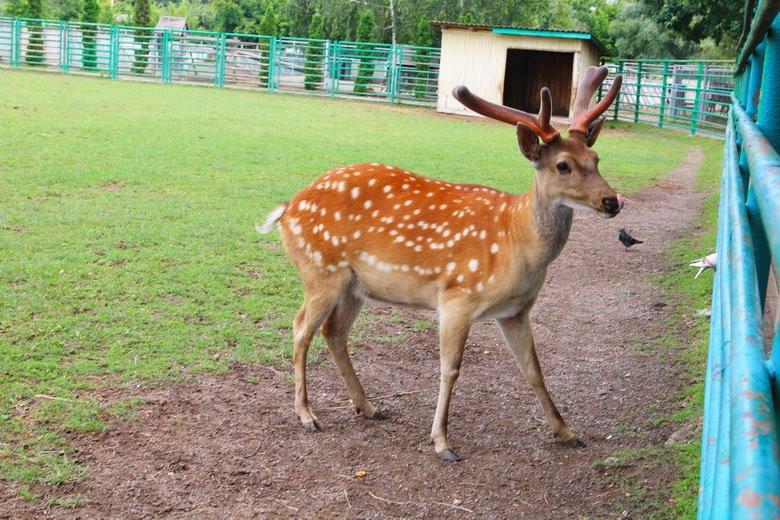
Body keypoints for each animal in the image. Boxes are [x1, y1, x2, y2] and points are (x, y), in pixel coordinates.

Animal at [258, 67, 624, 462]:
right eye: (562, 165)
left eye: (597, 157)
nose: (612, 201)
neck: (516, 240)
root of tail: (288, 209)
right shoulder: (457, 296)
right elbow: (450, 369)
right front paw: (442, 442)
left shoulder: (517, 310)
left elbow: (533, 370)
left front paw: (567, 432)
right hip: (320, 271)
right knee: (301, 329)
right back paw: (307, 414)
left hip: (353, 286)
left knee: (334, 332)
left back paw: (368, 407)